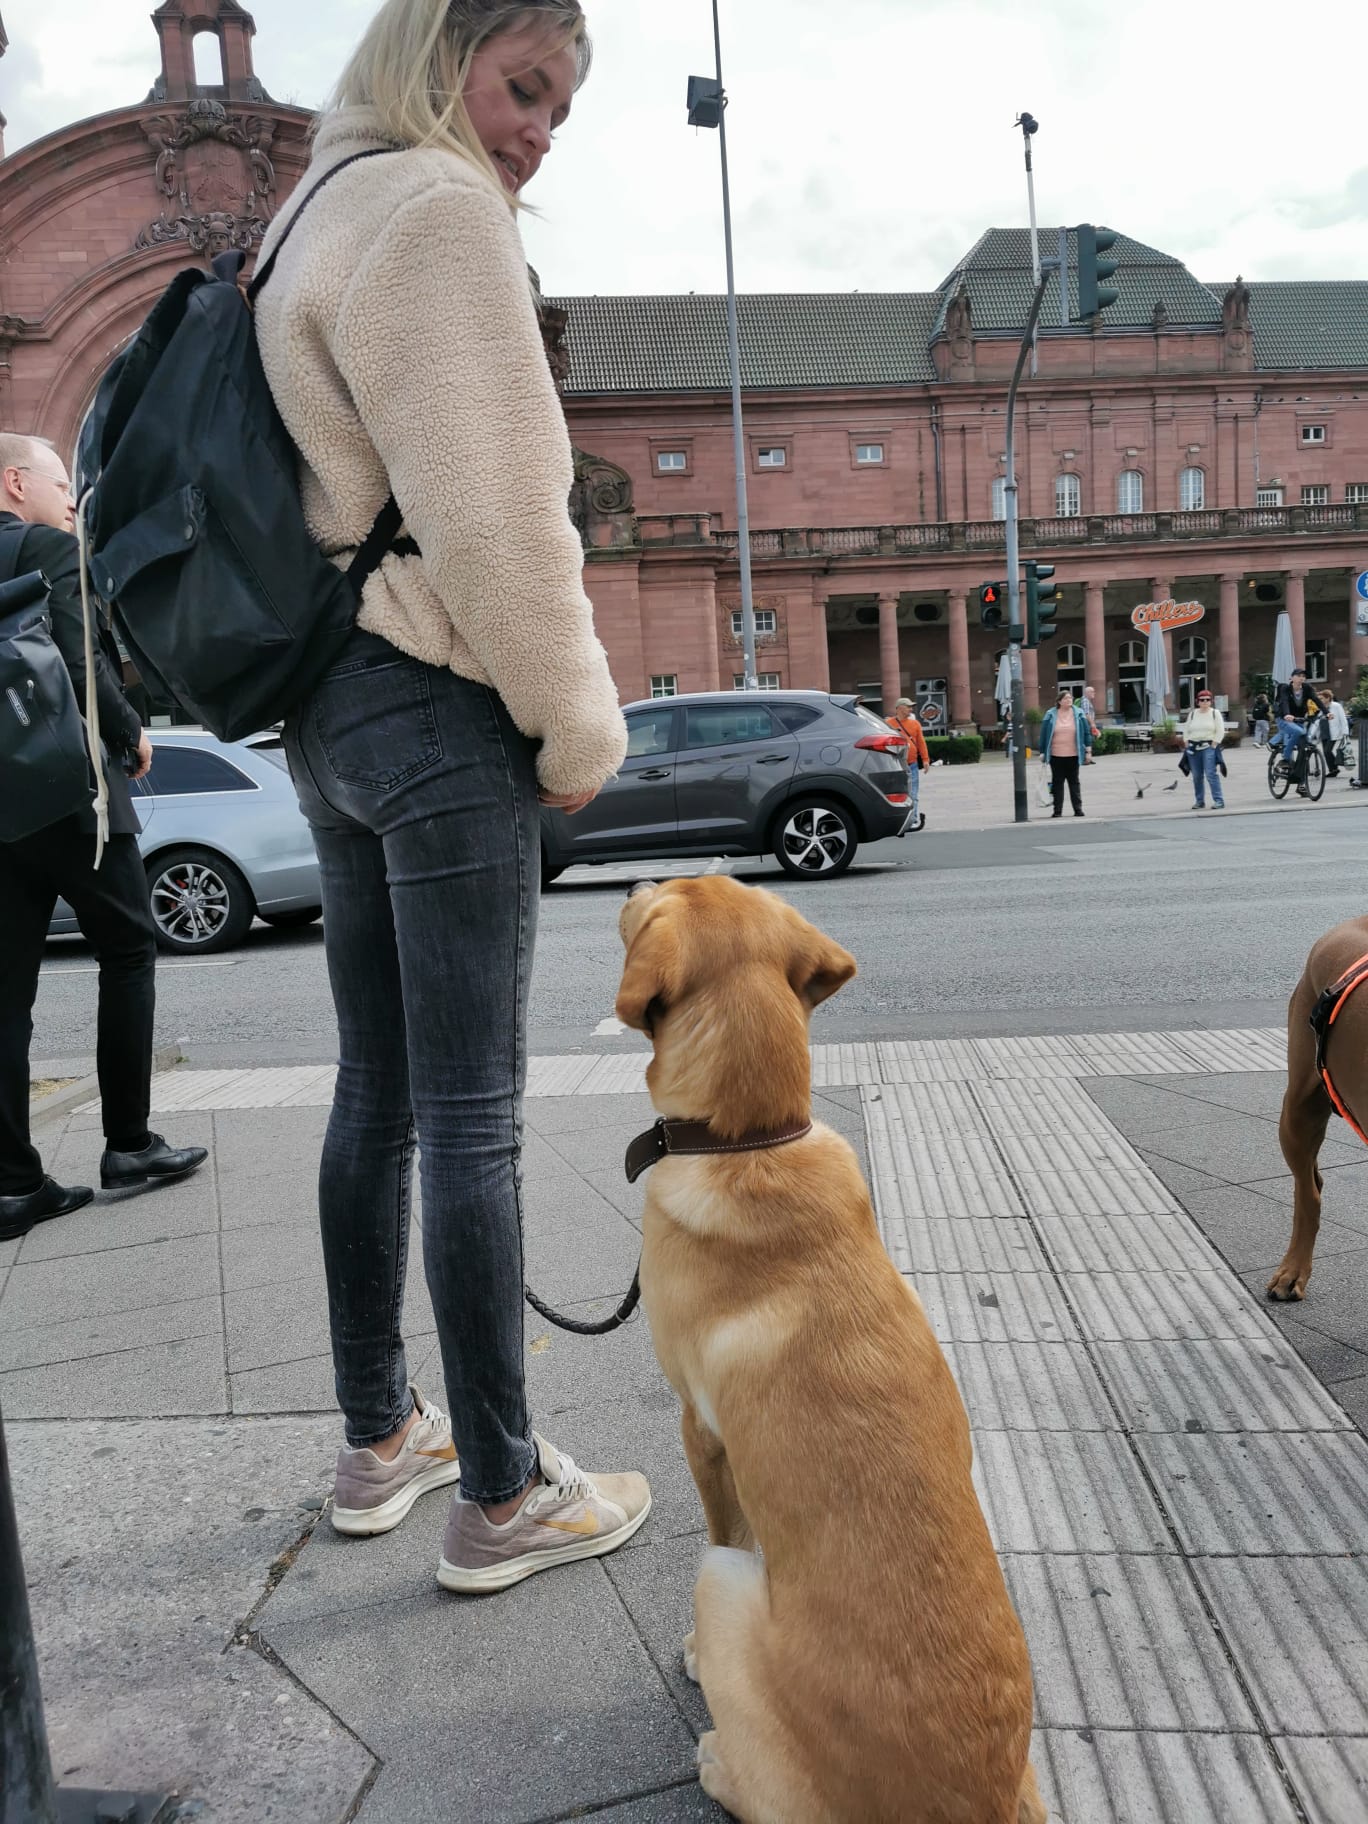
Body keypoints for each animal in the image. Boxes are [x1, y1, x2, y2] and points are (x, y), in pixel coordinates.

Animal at [616, 875, 1043, 1824]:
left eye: (667, 891)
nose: (631, 879)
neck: (751, 1140)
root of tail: (978, 1806)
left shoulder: (699, 1434)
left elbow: (723, 1507)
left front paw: (690, 1655)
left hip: (721, 1576)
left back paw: (713, 1756)